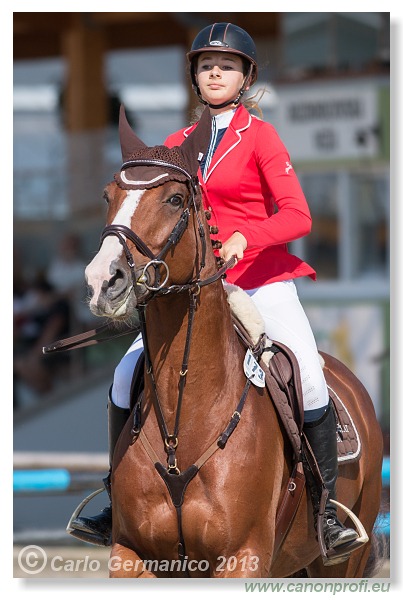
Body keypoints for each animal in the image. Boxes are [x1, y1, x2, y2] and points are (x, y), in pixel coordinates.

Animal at [83, 105, 384, 580]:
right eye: (107, 195)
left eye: (175, 199)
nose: (102, 282)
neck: (185, 420)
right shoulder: (130, 555)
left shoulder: (243, 556)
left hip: (342, 560)